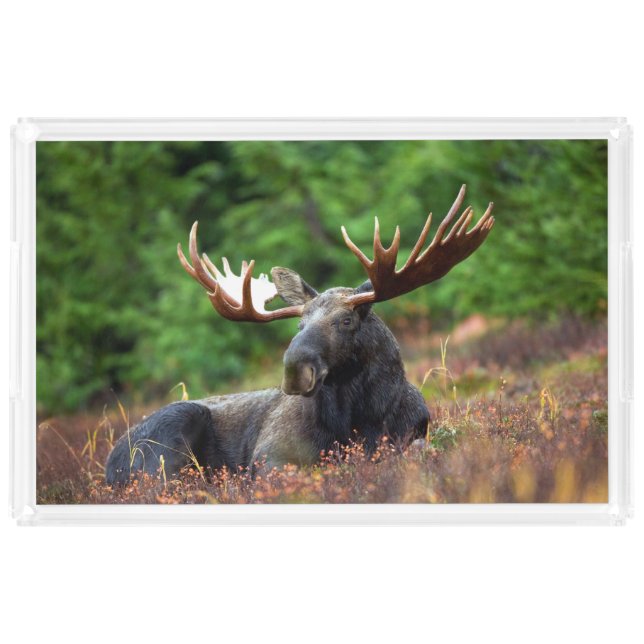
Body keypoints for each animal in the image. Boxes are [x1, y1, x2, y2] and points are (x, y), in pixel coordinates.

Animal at [105, 185, 494, 485]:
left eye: (346, 321)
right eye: (299, 324)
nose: (295, 370)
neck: (361, 420)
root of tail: (109, 465)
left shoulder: (414, 434)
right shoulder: (269, 455)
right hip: (169, 438)